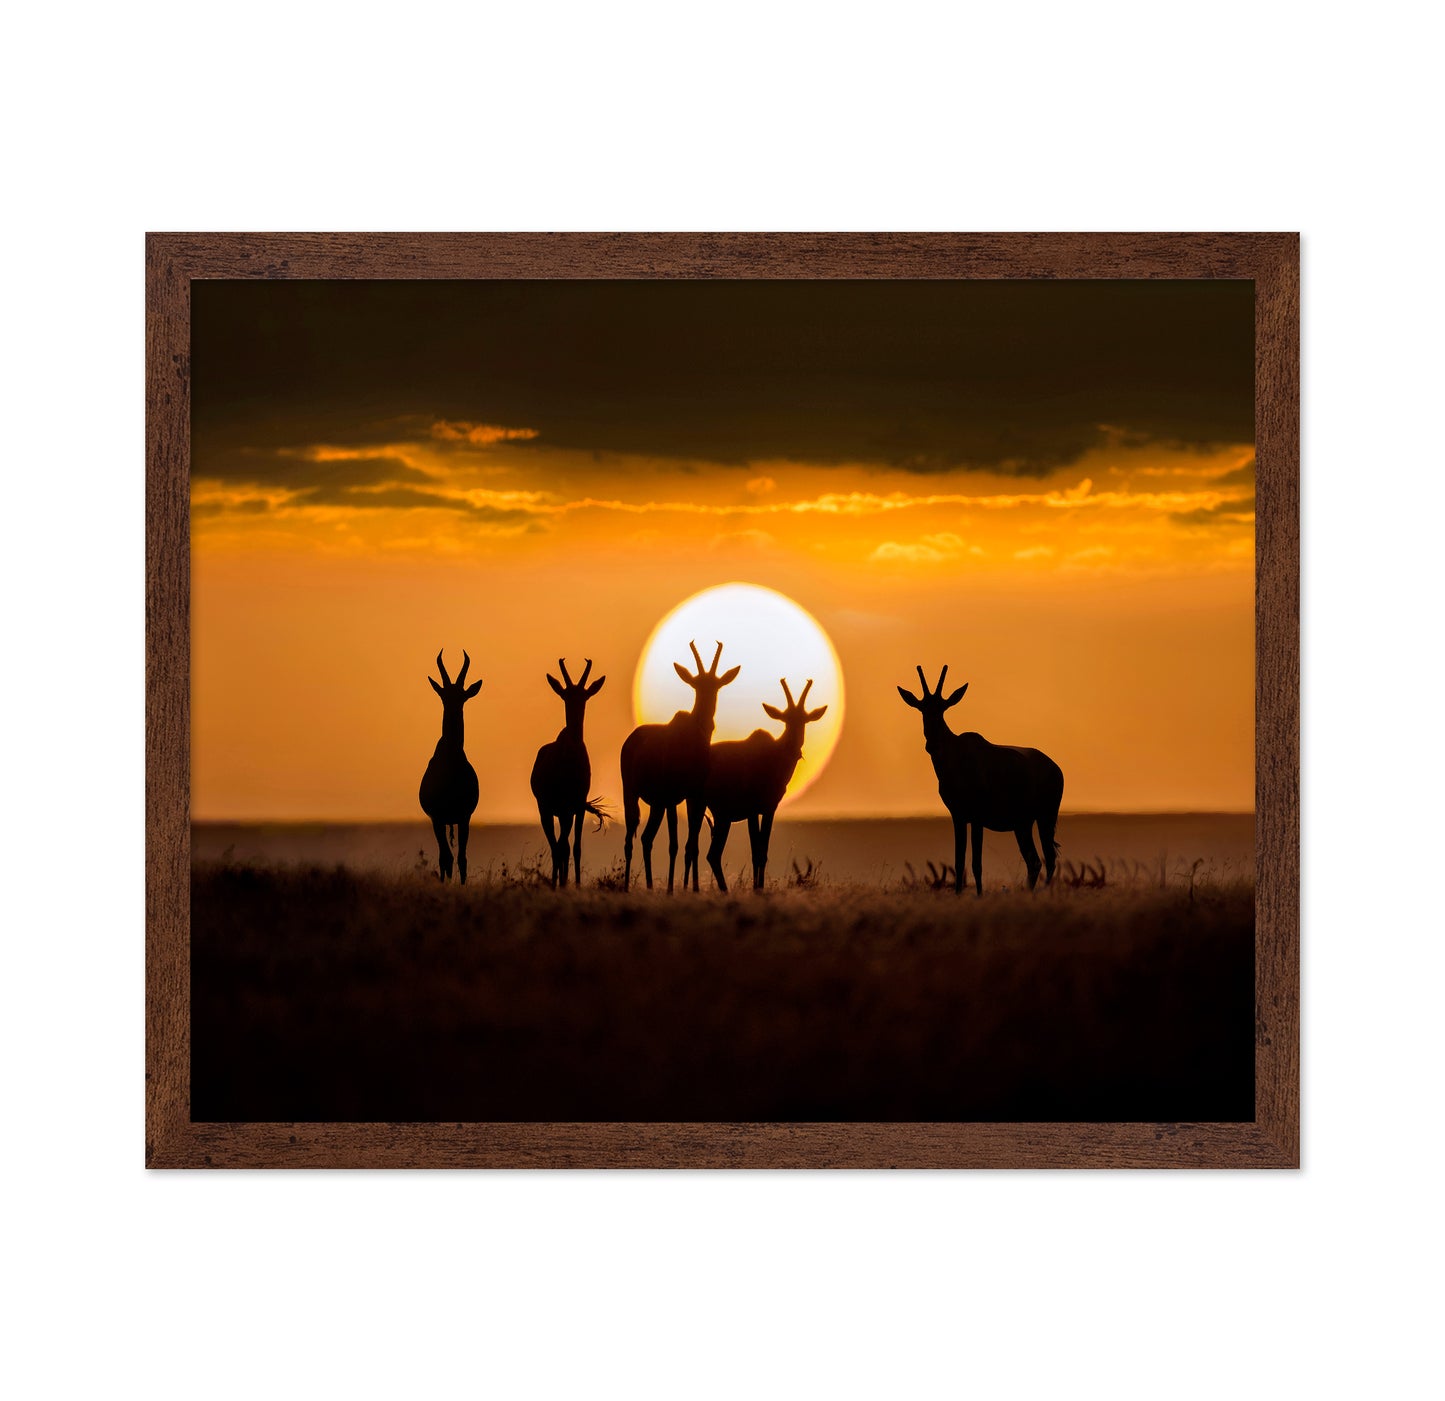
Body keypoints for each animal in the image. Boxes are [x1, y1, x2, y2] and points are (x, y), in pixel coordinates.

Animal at [419, 649, 483, 883]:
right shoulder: (436, 818)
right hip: (441, 821)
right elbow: (445, 857)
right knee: (445, 857)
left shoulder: (465, 817)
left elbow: (462, 858)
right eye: (443, 696)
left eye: (462, 696)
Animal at [529, 657, 607, 888]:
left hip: (565, 812)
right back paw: (556, 882)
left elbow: (576, 847)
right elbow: (561, 846)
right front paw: (560, 883)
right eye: (565, 695)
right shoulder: (561, 808)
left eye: (584, 695)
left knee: (562, 845)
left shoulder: (577, 806)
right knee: (556, 846)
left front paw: (577, 884)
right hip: (546, 810)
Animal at [620, 640, 739, 892]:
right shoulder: (671, 799)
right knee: (630, 837)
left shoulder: (694, 796)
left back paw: (650, 886)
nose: (708, 722)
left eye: (716, 686)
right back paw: (626, 887)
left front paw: (690, 888)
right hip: (633, 794)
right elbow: (674, 844)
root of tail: (631, 740)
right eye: (696, 685)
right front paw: (672, 890)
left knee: (646, 838)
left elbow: (691, 844)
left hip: (657, 804)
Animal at [704, 679, 828, 892]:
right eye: (786, 719)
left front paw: (760, 888)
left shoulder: (770, 809)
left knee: (712, 854)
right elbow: (756, 851)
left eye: (804, 720)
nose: (794, 749)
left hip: (721, 816)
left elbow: (764, 851)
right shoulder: (753, 811)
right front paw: (756, 889)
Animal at [897, 665, 1064, 896]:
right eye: (922, 709)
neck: (957, 754)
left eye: (942, 708)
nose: (931, 745)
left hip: (1045, 817)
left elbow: (977, 863)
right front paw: (959, 895)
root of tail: (1055, 768)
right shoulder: (958, 817)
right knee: (1034, 861)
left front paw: (978, 896)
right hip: (1023, 824)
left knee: (1049, 858)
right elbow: (959, 861)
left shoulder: (977, 818)